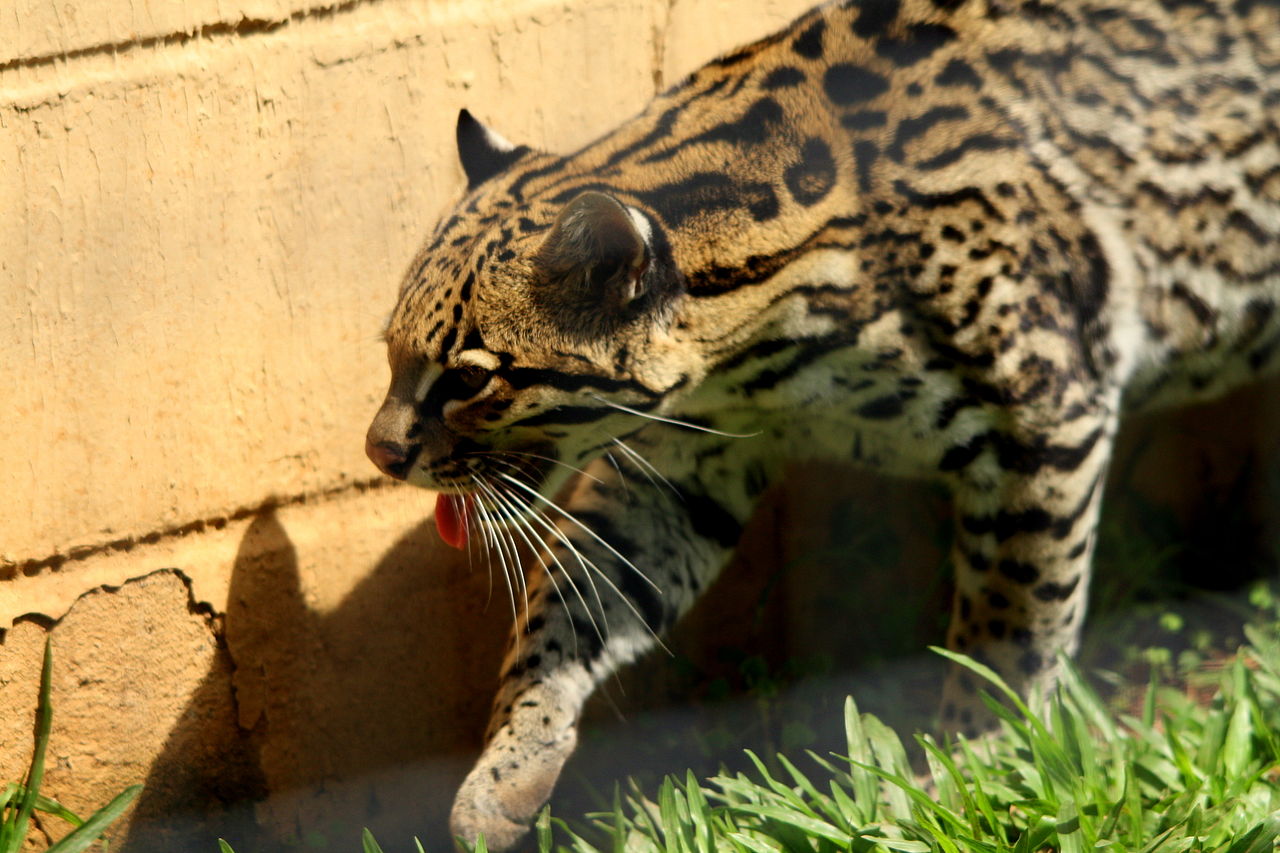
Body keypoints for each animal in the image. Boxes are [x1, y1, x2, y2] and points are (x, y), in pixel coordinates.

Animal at [363, 1, 1280, 845]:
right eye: (390, 349)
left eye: (468, 379)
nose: (380, 451)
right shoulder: (679, 470)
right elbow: (568, 599)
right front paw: (512, 758)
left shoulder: (1049, 410)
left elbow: (1013, 623)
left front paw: (972, 760)